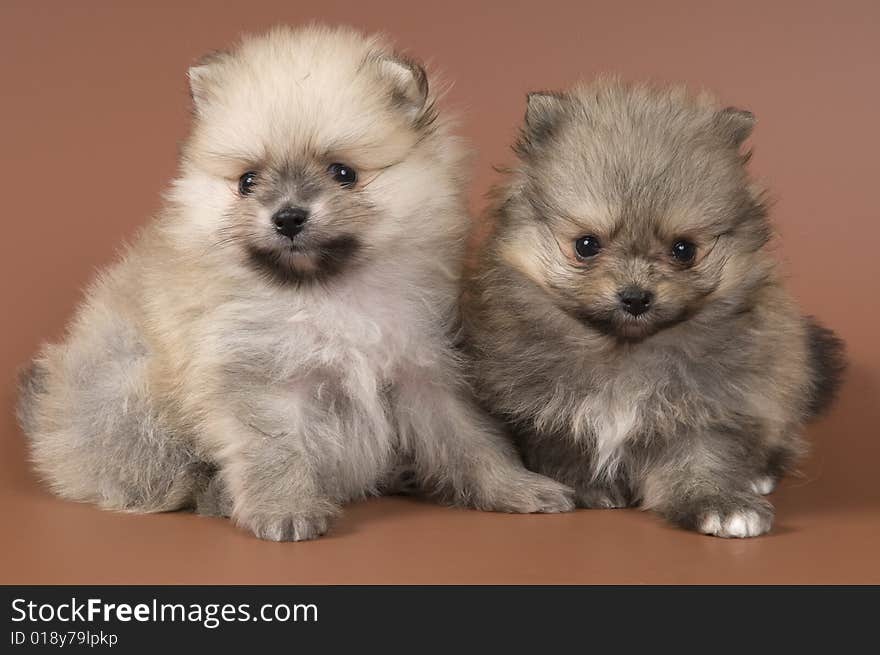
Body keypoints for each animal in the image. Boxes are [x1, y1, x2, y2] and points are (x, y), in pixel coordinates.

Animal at [18, 25, 576, 544]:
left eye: (343, 172)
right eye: (247, 181)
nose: (287, 217)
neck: (327, 293)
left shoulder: (425, 369)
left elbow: (471, 440)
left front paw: (516, 487)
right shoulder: (258, 375)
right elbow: (273, 449)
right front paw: (284, 510)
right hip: (128, 391)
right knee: (160, 477)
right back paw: (218, 496)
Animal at [460, 79, 844, 540]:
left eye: (684, 250)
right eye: (586, 245)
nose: (636, 297)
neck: (624, 355)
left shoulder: (708, 404)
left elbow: (701, 458)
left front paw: (720, 502)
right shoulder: (539, 405)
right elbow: (563, 442)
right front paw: (588, 487)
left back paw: (759, 474)